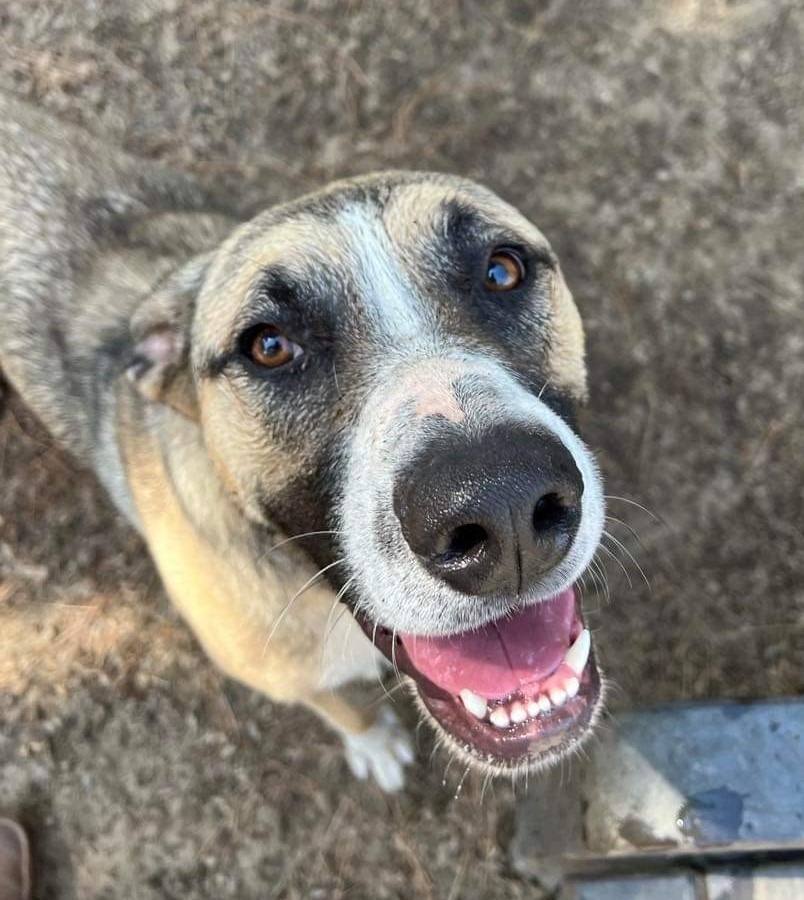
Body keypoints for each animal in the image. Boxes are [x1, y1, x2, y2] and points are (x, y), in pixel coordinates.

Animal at [0, 95, 604, 792]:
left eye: (502, 270)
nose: (502, 504)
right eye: (268, 345)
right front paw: (373, 743)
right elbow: (340, 705)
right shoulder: (287, 675)